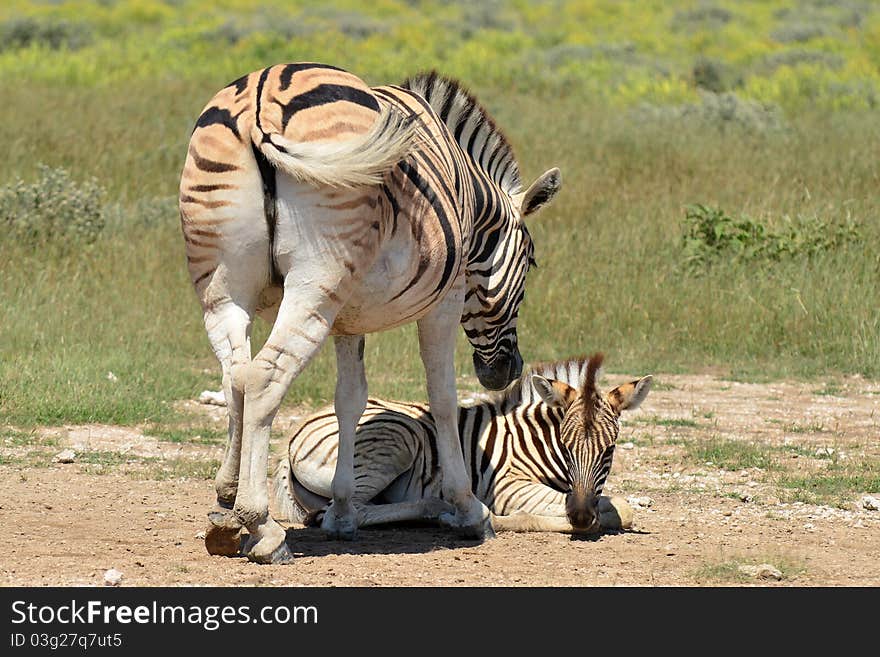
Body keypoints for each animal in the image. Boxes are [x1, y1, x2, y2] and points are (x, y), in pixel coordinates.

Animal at [180, 64, 564, 560]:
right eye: (532, 263)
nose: (508, 373)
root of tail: (260, 101)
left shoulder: (348, 316)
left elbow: (351, 400)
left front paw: (343, 511)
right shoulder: (446, 300)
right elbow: (442, 397)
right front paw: (468, 509)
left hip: (224, 290)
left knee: (235, 378)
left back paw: (226, 509)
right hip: (312, 286)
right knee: (263, 378)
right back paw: (261, 525)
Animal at [276, 354, 652, 532]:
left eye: (609, 450)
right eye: (566, 445)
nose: (581, 516)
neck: (534, 441)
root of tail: (295, 433)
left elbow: (617, 507)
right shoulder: (509, 487)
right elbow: (617, 510)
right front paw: (496, 520)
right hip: (397, 437)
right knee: (343, 512)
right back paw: (439, 510)